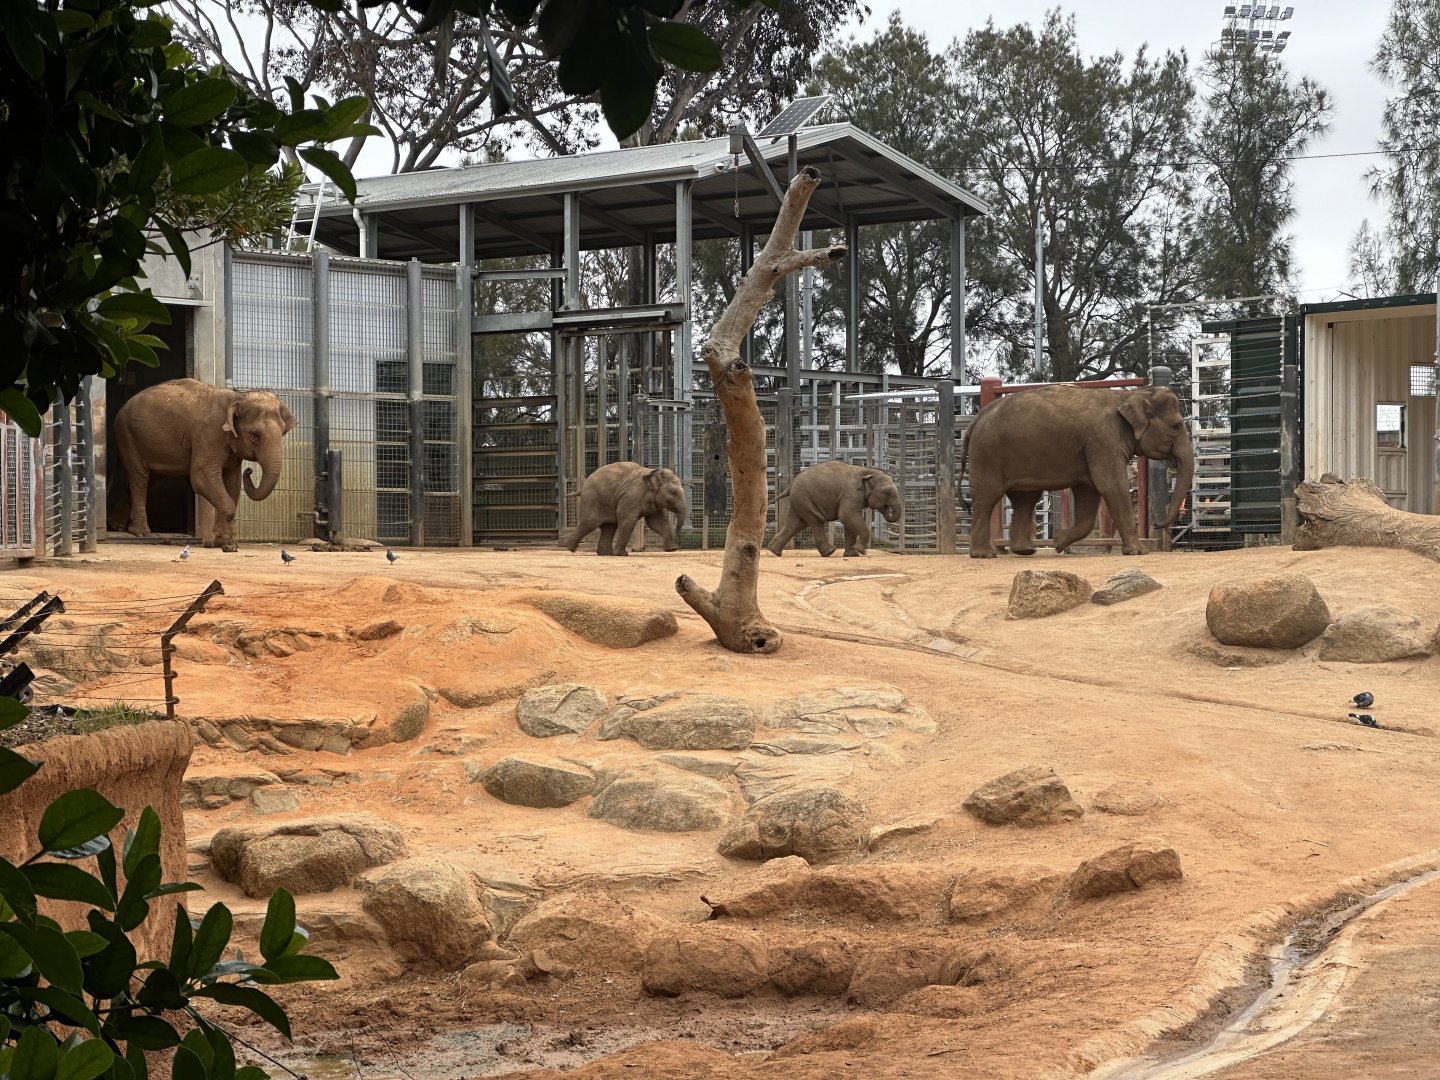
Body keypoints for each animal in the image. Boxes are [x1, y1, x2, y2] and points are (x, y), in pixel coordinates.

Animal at [108, 379, 297, 553]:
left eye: (283, 432)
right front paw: (228, 546)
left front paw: (226, 544)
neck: (237, 398)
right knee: (139, 477)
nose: (249, 470)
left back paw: (118, 526)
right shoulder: (208, 434)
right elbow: (200, 477)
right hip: (127, 434)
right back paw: (141, 533)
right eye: (254, 435)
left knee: (151, 478)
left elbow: (233, 483)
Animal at [768, 459, 903, 558]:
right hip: (804, 498)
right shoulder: (850, 494)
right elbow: (846, 515)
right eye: (887, 493)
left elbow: (849, 522)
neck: (866, 470)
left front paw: (852, 555)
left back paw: (774, 551)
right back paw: (830, 552)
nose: (888, 509)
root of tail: (790, 486)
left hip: (799, 501)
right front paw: (860, 550)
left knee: (795, 524)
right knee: (816, 520)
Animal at [959, 383, 1195, 559]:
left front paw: (1058, 542)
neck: (1127, 395)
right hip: (987, 455)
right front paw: (1139, 552)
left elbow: (1088, 492)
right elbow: (1111, 485)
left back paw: (1024, 550)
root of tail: (976, 419)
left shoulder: (1093, 447)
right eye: (1176, 426)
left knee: (1024, 499)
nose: (1156, 523)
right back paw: (984, 554)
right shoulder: (1103, 440)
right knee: (988, 498)